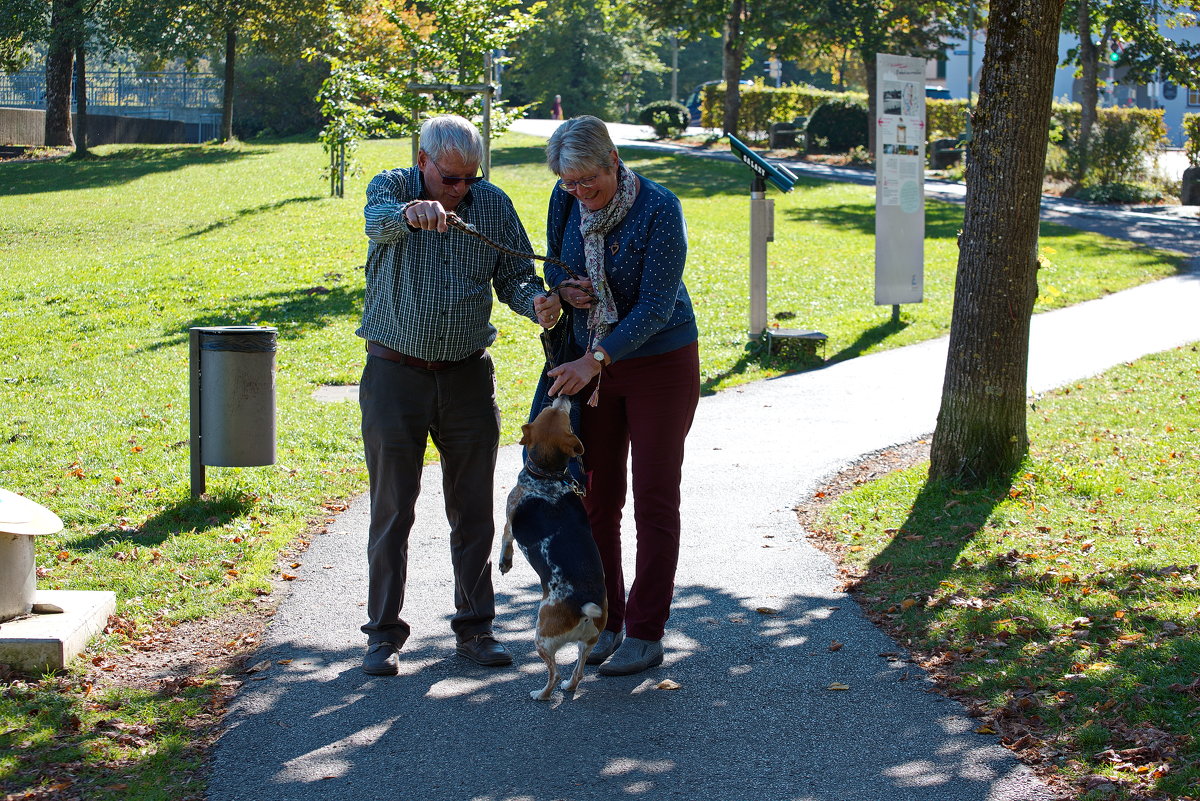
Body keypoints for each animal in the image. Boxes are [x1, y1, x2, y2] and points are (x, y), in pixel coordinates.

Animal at [499, 393, 604, 700]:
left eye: (562, 415)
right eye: (553, 412)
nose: (564, 395)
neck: (546, 476)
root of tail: (583, 608)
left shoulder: (509, 518)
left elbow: (505, 539)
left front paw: (504, 563)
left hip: (541, 638)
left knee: (553, 674)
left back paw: (541, 694)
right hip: (588, 642)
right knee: (578, 671)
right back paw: (570, 685)